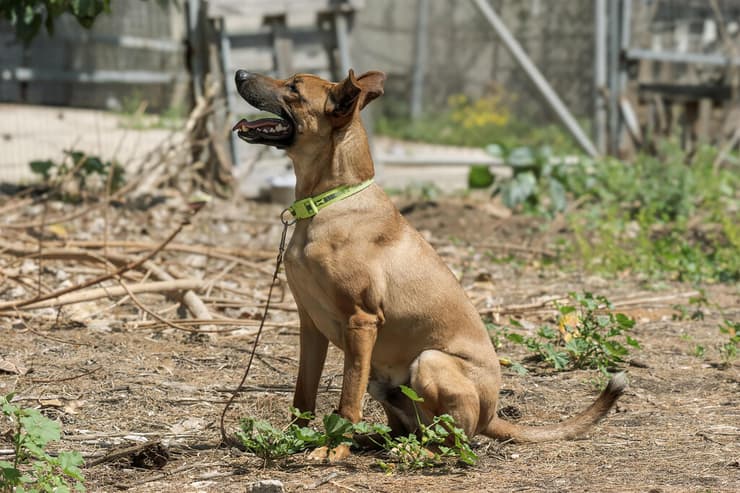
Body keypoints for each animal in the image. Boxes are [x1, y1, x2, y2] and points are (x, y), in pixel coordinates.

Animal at [233, 68, 624, 458]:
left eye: (293, 88)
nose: (239, 73)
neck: (328, 202)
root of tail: (492, 414)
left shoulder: (361, 321)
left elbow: (347, 400)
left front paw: (334, 450)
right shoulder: (310, 324)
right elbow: (304, 395)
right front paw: (293, 438)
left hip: (430, 361)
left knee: (452, 442)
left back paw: (411, 451)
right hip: (382, 379)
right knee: (405, 429)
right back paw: (373, 441)